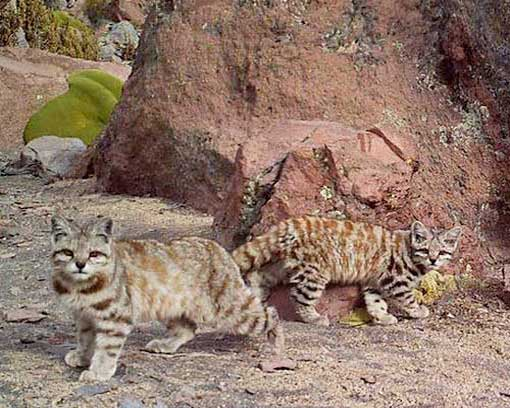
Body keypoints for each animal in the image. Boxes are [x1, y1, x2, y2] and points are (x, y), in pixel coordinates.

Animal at [50, 215, 284, 382]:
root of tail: (221, 250)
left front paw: (98, 372)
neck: (80, 287)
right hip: (168, 306)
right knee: (188, 329)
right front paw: (82, 357)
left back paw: (278, 346)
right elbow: (85, 339)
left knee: (270, 313)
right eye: (68, 252)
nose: (80, 264)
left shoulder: (115, 319)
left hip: (229, 311)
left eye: (94, 254)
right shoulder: (84, 317)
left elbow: (106, 348)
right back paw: (165, 345)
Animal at [232, 216, 461, 326]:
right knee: (299, 297)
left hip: (282, 265)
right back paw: (314, 318)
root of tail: (293, 223)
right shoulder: (394, 280)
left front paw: (381, 317)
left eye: (442, 251)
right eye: (425, 250)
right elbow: (407, 298)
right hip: (314, 273)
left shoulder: (374, 282)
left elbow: (375, 302)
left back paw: (256, 295)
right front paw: (417, 311)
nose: (433, 260)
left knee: (257, 273)